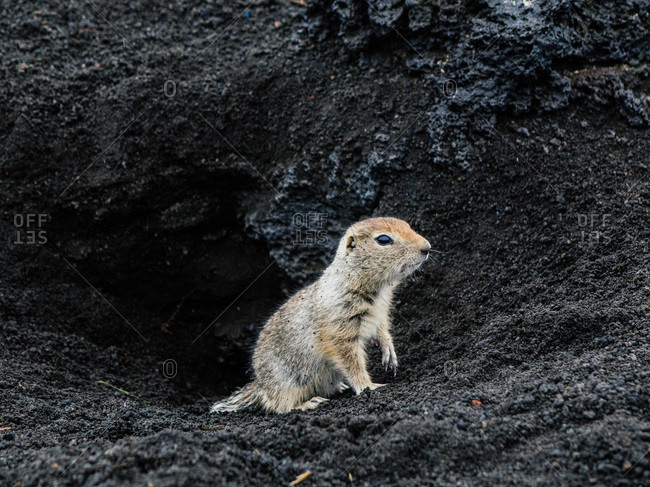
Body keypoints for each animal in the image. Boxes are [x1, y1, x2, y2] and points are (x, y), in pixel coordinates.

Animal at [210, 217, 431, 413]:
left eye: (408, 225)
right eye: (384, 239)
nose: (427, 247)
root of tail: (260, 384)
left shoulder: (381, 315)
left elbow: (383, 331)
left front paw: (389, 352)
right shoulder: (339, 331)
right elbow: (352, 362)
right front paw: (369, 386)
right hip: (288, 382)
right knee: (277, 406)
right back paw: (308, 403)